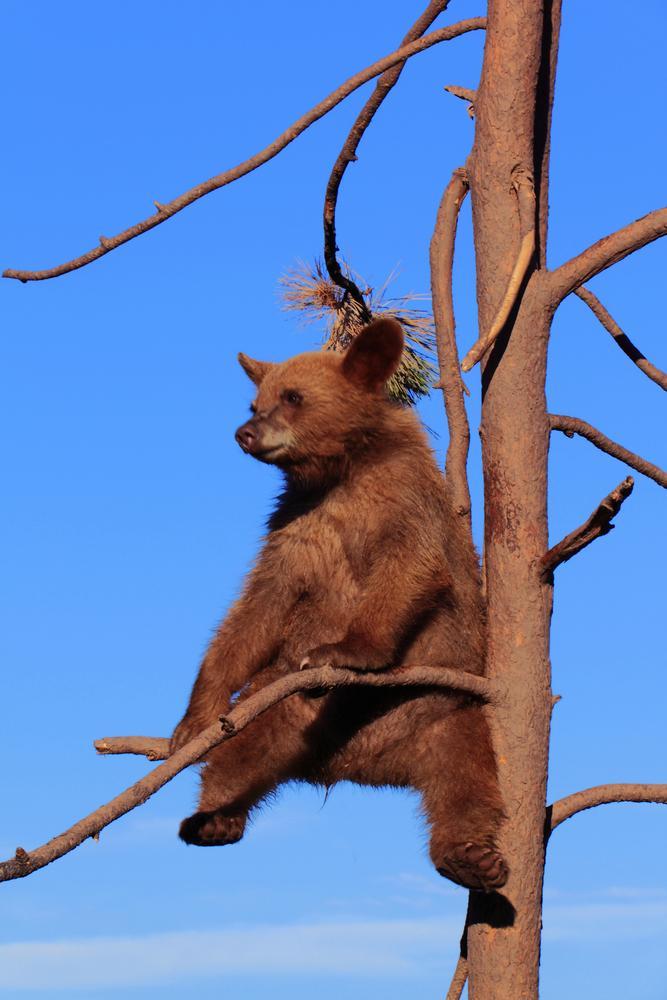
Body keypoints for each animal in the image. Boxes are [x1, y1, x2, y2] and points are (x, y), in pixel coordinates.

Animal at [171, 318, 506, 892]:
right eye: (254, 401)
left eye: (293, 396)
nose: (245, 433)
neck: (341, 471)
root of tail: (363, 769)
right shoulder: (297, 527)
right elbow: (256, 609)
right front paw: (194, 721)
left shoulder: (400, 501)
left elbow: (409, 568)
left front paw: (346, 649)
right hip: (286, 704)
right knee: (245, 750)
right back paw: (214, 820)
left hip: (441, 711)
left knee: (467, 778)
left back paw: (472, 858)